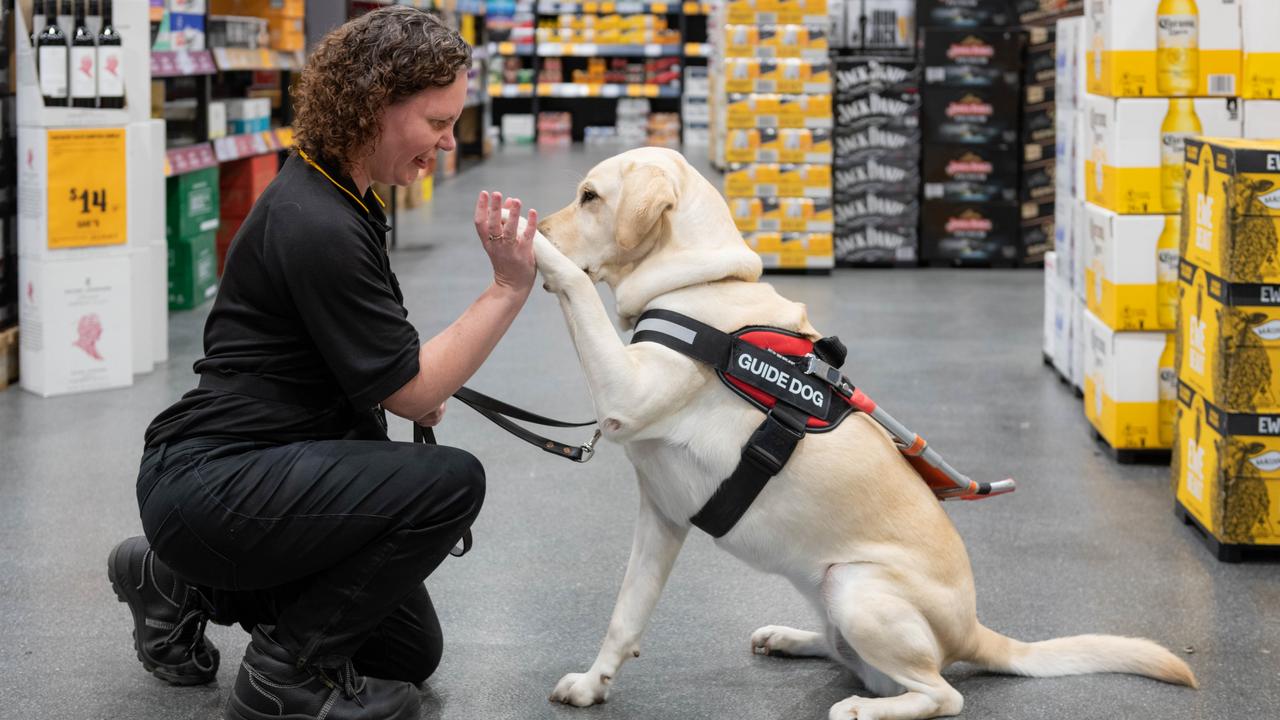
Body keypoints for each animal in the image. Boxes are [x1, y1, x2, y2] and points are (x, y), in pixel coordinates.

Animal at [524, 147, 1192, 717]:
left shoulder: (624, 393)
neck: (697, 283)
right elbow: (626, 614)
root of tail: (974, 631)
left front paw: (531, 242)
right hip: (829, 593)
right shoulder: (660, 518)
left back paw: (861, 709)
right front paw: (593, 685)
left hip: (855, 585)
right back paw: (790, 637)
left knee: (941, 693)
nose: (548, 226)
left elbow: (577, 288)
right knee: (850, 653)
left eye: (589, 196)